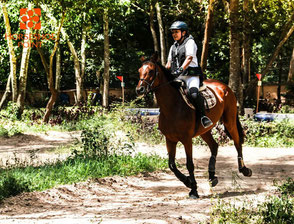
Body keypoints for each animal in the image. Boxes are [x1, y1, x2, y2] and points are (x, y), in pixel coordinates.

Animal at [136, 53, 253, 199]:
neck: (172, 107)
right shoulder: (170, 139)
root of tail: (224, 86)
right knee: (214, 146)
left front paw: (194, 190)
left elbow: (190, 164)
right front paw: (188, 182)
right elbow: (172, 165)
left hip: (229, 121)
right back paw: (212, 176)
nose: (139, 89)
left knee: (237, 142)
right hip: (204, 130)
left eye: (151, 71)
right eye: (139, 71)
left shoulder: (186, 140)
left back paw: (244, 169)